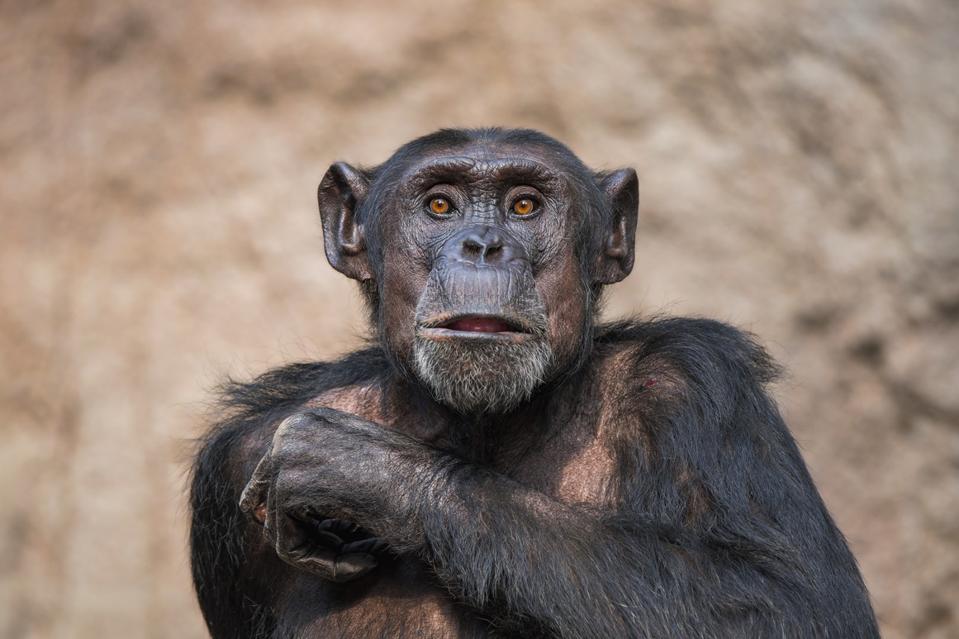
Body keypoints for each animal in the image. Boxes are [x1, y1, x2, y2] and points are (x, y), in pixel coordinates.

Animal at [190, 127, 879, 638]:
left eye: (525, 205)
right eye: (439, 204)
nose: (483, 245)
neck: (481, 423)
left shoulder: (697, 382)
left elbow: (785, 600)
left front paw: (366, 472)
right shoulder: (235, 459)